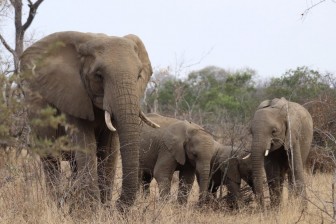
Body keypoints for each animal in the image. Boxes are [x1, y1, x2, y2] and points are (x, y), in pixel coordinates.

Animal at [20, 30, 159, 209]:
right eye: (98, 76)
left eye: (139, 75)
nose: (117, 205)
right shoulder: (72, 95)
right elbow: (87, 146)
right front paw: (92, 210)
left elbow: (108, 150)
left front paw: (103, 209)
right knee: (51, 160)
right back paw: (58, 205)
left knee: (74, 163)